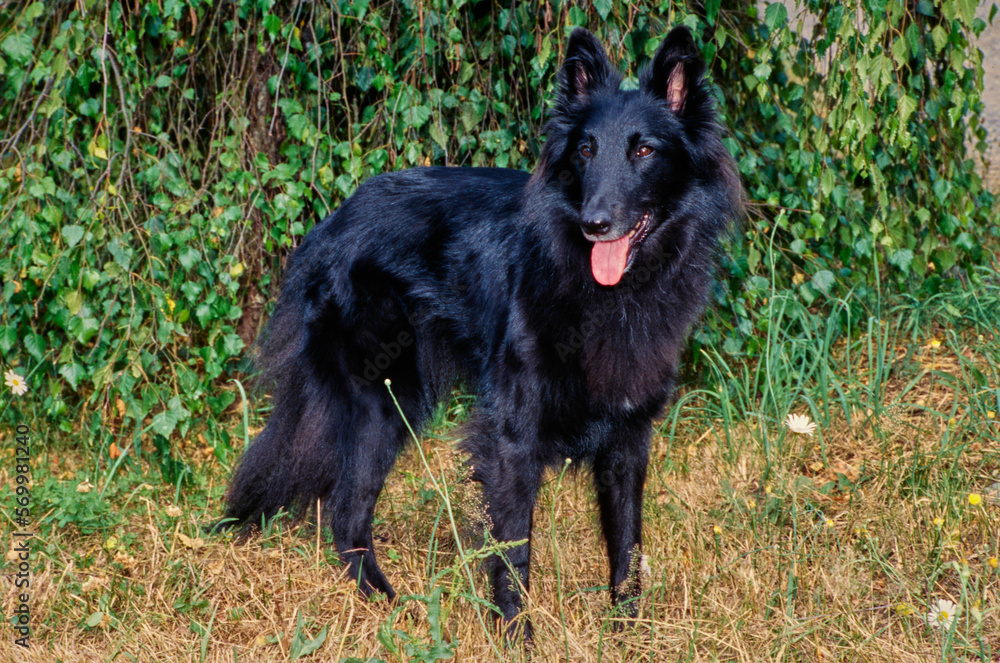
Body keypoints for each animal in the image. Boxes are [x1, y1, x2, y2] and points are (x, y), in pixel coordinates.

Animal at [225, 27, 744, 640]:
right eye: (585, 151)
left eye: (644, 151)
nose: (595, 224)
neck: (603, 290)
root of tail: (333, 221)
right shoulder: (512, 435)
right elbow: (514, 548)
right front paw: (517, 635)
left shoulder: (629, 438)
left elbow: (627, 544)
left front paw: (630, 633)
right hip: (385, 402)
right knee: (347, 512)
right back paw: (390, 606)